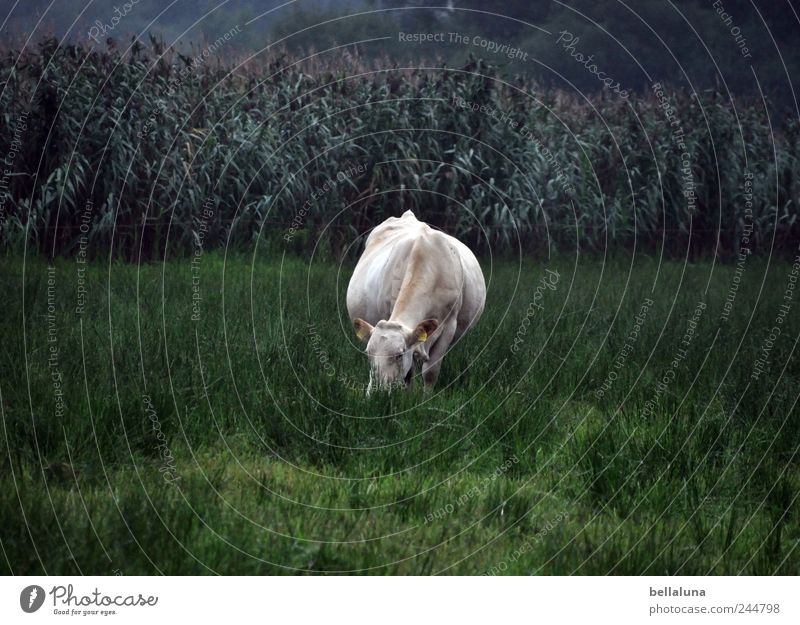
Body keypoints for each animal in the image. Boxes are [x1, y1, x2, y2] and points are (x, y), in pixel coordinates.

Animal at [346, 212, 484, 392]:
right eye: (368, 352)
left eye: (398, 354)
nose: (376, 391)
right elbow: (409, 373)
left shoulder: (449, 326)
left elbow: (430, 371)